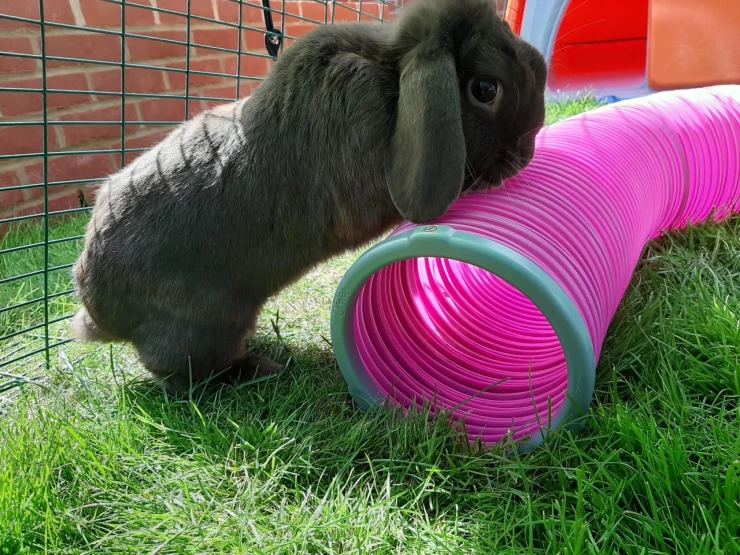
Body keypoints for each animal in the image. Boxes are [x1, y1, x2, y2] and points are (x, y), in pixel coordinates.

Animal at [71, 0, 548, 393]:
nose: (526, 154)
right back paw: (258, 369)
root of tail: (95, 311)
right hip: (205, 326)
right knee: (181, 376)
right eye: (486, 89)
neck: (391, 78)